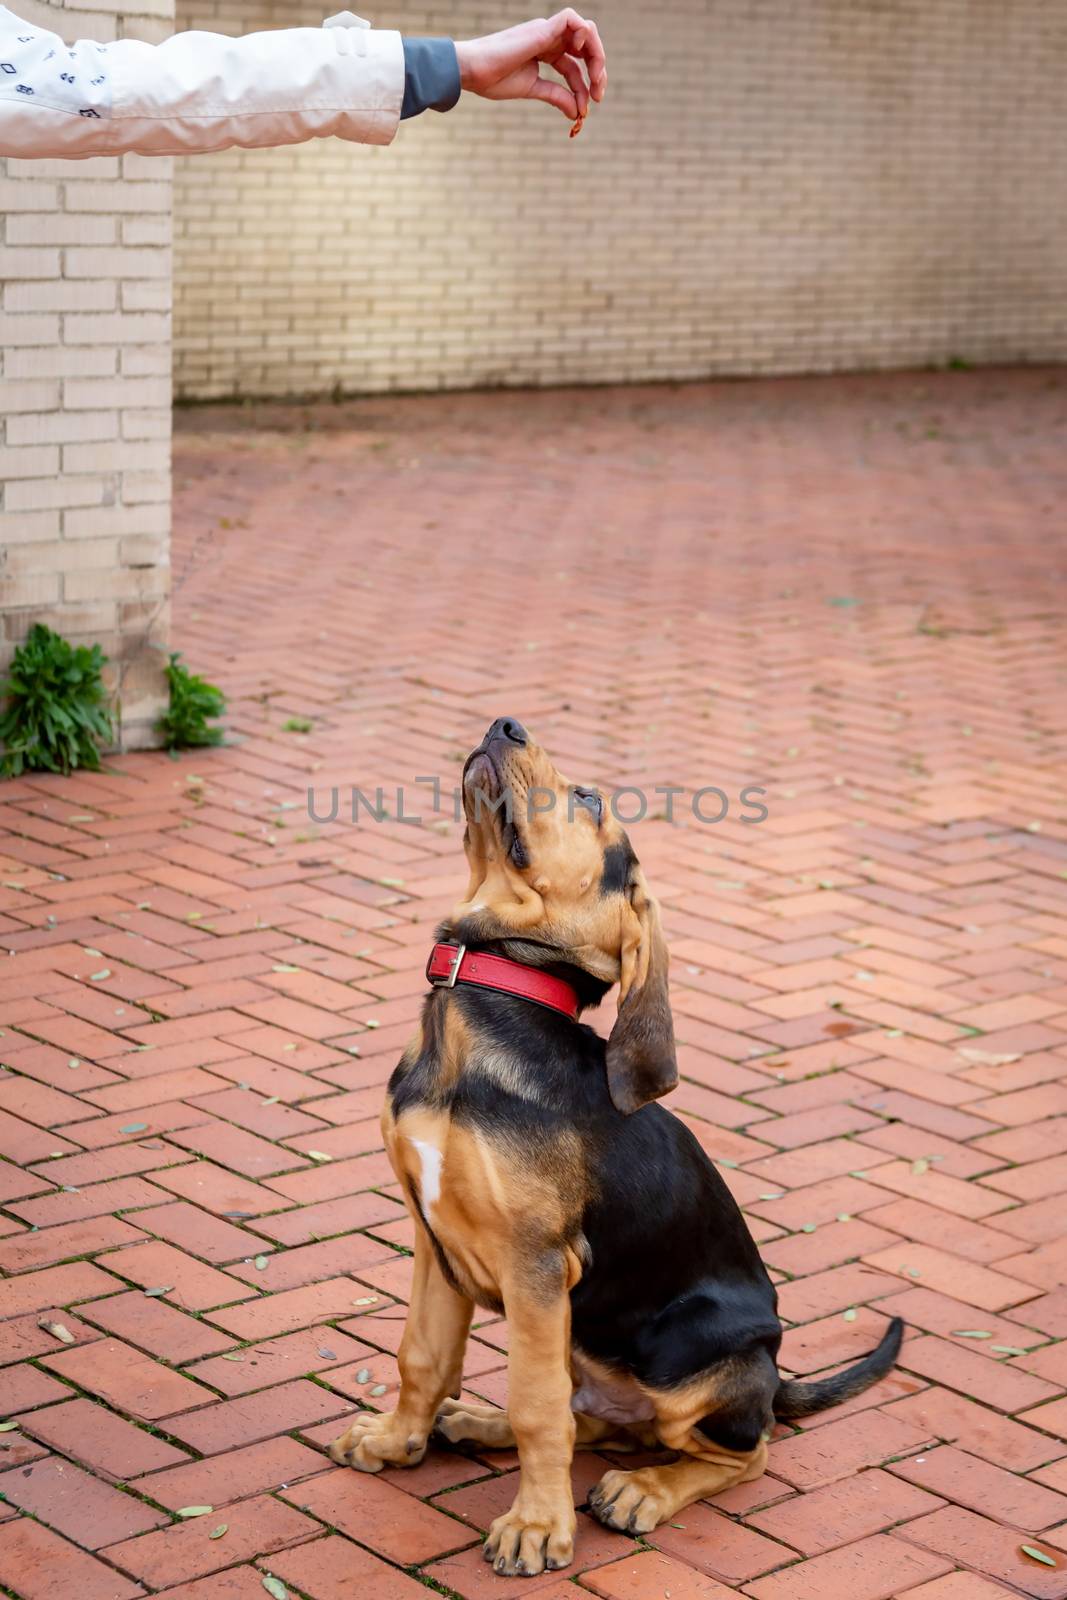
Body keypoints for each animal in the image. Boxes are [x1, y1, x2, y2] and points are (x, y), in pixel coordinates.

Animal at [329, 723, 908, 1574]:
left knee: (745, 1450)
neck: (479, 1016)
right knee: (599, 1420)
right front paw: (398, 1439)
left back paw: (643, 1492)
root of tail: (774, 1376)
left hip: (683, 1348)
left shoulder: (536, 1265)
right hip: (579, 1334)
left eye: (590, 801)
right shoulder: (432, 1238)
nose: (504, 726)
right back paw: (474, 1423)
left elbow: (537, 1407)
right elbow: (422, 1356)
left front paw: (537, 1526)